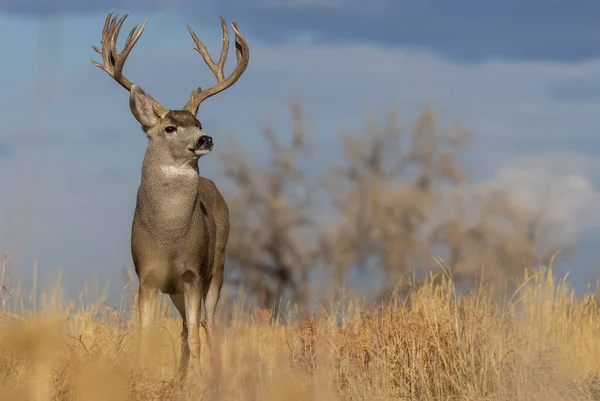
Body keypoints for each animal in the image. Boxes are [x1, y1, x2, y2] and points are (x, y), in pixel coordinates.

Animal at [89, 10, 248, 382]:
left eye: (199, 123)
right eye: (170, 128)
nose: (205, 139)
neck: (169, 238)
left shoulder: (191, 273)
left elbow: (198, 331)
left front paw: (199, 381)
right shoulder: (147, 276)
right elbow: (145, 335)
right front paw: (148, 376)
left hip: (218, 263)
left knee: (208, 322)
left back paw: (214, 376)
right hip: (176, 289)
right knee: (186, 328)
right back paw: (178, 376)